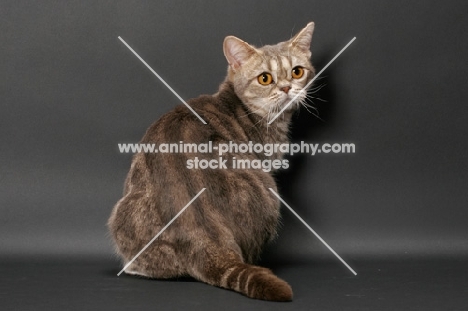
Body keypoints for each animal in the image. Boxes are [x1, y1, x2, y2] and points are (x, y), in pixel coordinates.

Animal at [108, 22, 316, 302]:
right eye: (265, 78)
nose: (286, 88)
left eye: (297, 72)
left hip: (123, 210)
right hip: (269, 190)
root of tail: (202, 235)